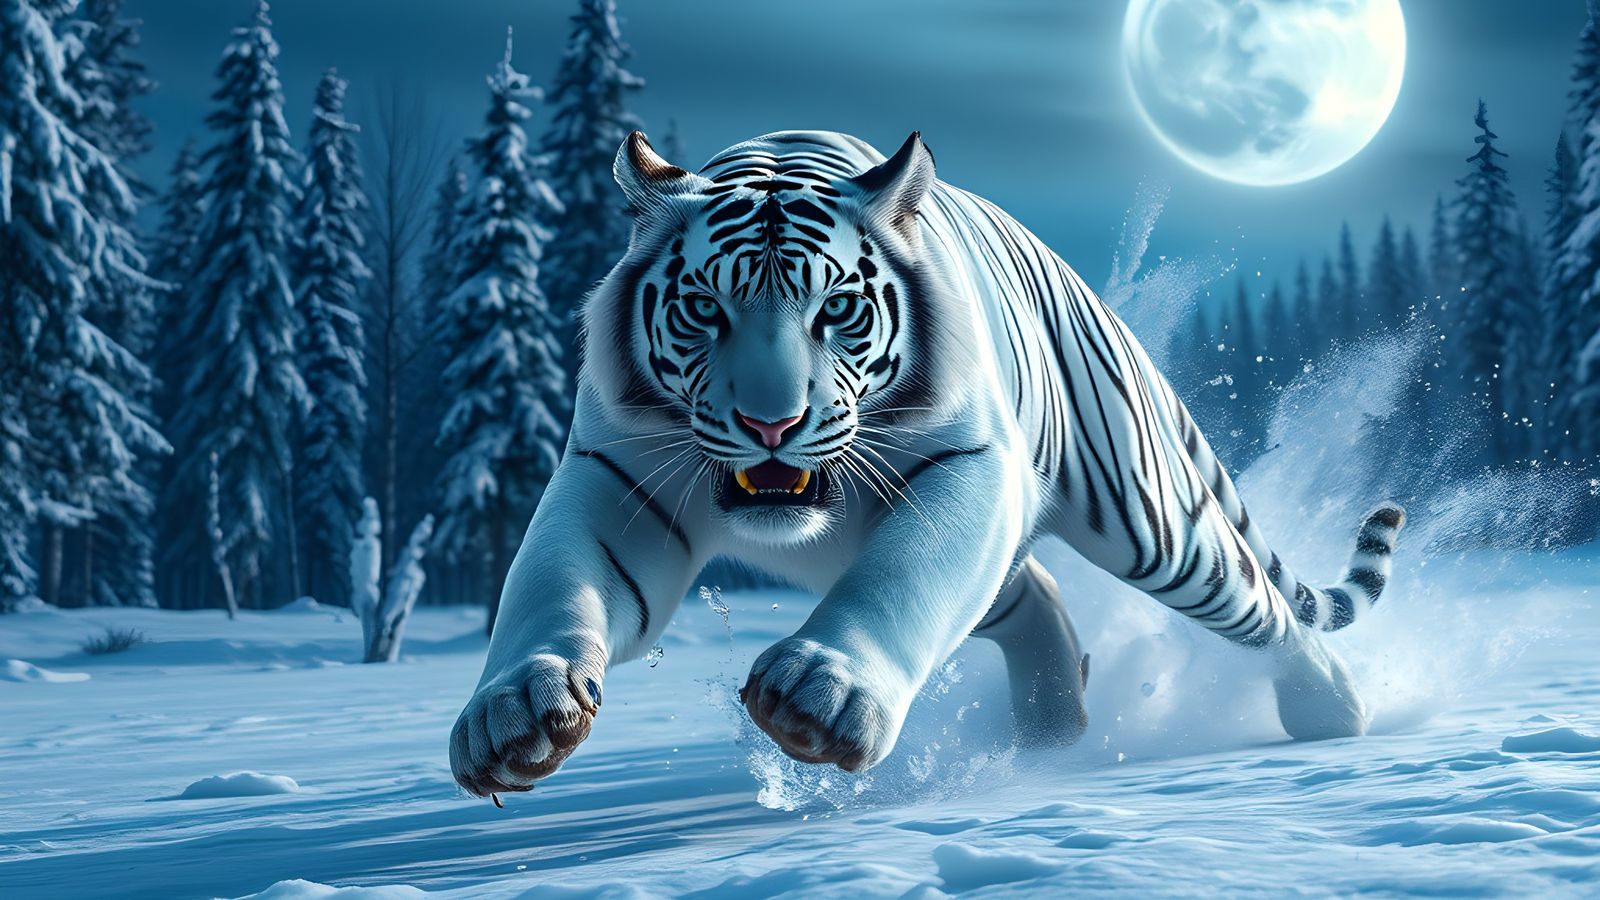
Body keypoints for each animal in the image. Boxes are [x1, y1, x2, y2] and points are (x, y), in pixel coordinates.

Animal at [447, 130, 1405, 796]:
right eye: (705, 310)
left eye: (835, 309)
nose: (770, 423)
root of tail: (1074, 278)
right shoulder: (616, 479)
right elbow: (550, 585)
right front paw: (514, 713)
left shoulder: (971, 464)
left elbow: (903, 579)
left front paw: (823, 698)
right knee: (1033, 594)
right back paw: (1052, 726)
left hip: (1152, 526)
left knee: (1260, 608)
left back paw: (1334, 711)